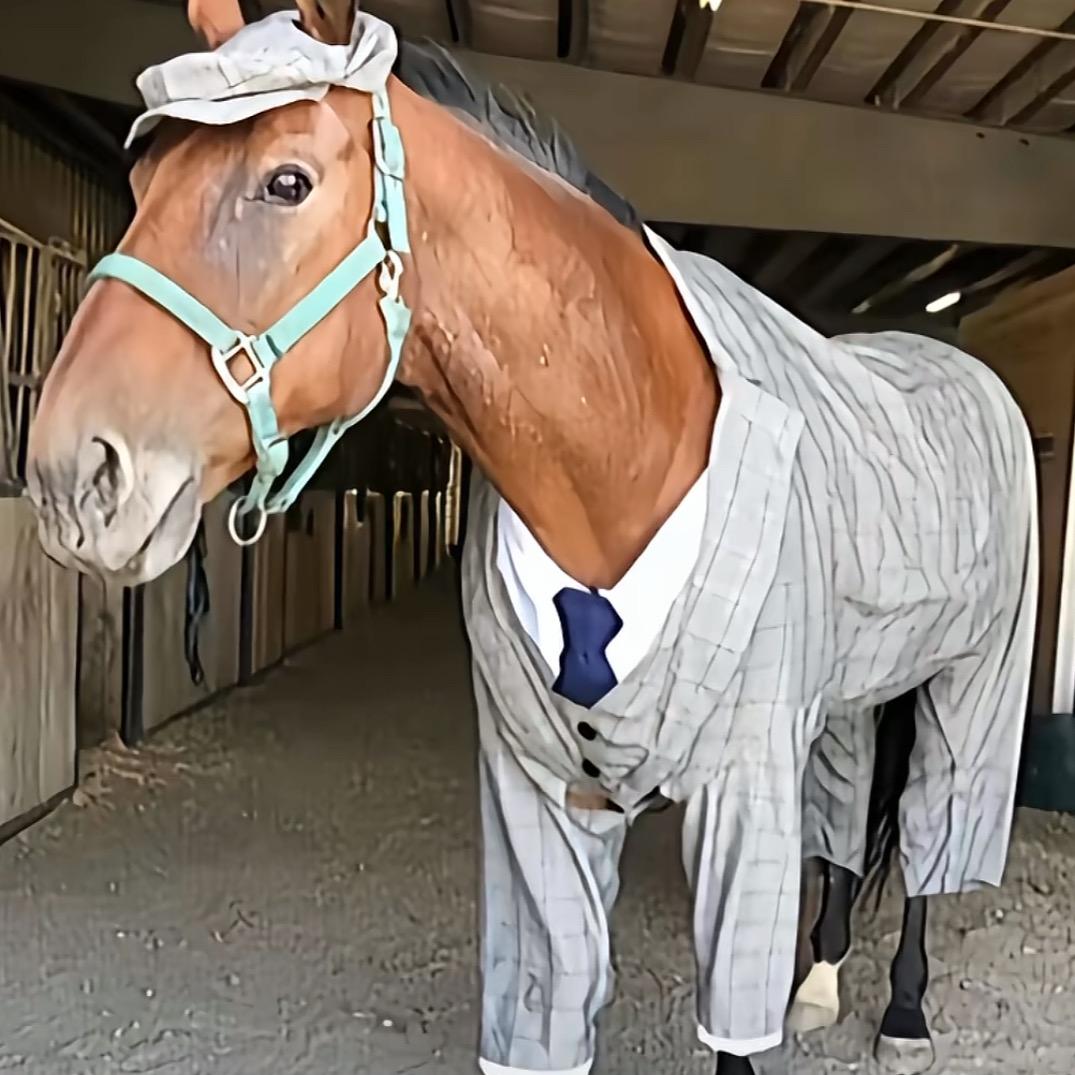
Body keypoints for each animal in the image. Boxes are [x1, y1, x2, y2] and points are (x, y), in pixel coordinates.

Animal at [24, 3, 1037, 1074]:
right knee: (843, 824)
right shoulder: (535, 795)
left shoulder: (745, 789)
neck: (630, 448)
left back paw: (903, 1009)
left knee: (934, 831)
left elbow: (733, 1019)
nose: (68, 474)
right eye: (141, 184)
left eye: (286, 182)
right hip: (849, 696)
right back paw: (821, 978)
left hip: (974, 682)